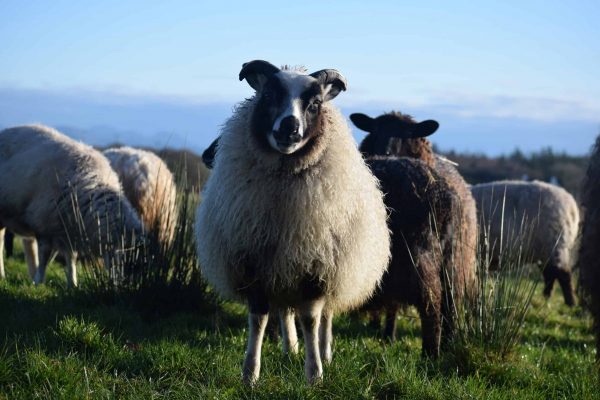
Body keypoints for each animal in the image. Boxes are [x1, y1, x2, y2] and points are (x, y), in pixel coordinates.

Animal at [0, 125, 143, 288]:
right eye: (127, 259)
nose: (123, 286)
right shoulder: (44, 224)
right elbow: (44, 257)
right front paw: (38, 281)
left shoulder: (69, 228)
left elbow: (71, 256)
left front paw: (72, 283)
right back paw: (2, 274)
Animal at [195, 60, 392, 384]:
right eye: (268, 95)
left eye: (315, 104)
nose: (289, 126)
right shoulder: (256, 263)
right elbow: (259, 319)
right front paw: (250, 374)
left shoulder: (316, 268)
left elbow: (311, 319)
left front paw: (314, 374)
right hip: (282, 267)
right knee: (286, 312)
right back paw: (290, 349)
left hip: (333, 269)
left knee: (325, 315)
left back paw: (324, 353)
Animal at [350, 111, 476, 354]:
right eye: (375, 131)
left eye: (409, 135)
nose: (386, 153)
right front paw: (387, 334)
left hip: (431, 261)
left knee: (441, 304)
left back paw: (439, 347)